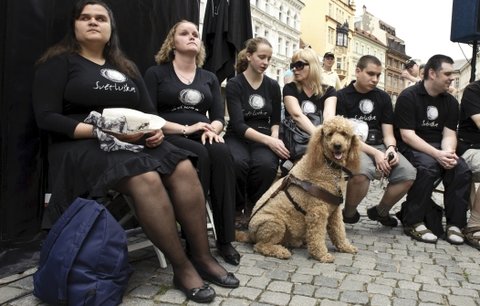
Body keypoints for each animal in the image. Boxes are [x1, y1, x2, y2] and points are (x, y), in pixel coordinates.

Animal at [236, 116, 360, 262]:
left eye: (344, 134)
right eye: (329, 134)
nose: (337, 146)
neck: (327, 165)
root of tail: (250, 233)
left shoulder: (334, 210)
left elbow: (339, 231)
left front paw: (345, 247)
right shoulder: (317, 212)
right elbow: (317, 236)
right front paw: (321, 255)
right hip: (275, 223)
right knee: (260, 246)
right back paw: (281, 251)